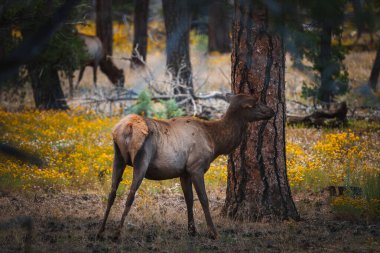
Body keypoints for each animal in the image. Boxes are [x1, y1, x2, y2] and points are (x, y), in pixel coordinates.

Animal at [97, 94, 276, 240]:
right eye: (255, 103)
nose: (272, 111)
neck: (215, 142)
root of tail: (126, 129)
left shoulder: (184, 172)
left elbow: (189, 199)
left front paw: (192, 230)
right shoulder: (196, 167)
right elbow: (203, 199)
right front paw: (213, 232)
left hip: (118, 157)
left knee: (112, 193)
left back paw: (101, 231)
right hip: (142, 159)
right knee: (130, 195)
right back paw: (116, 233)